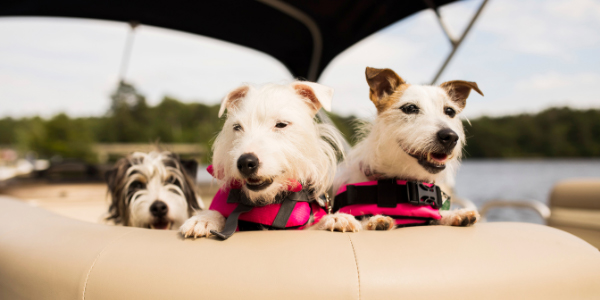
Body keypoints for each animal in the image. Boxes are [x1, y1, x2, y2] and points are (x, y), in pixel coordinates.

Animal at [179, 80, 360, 239]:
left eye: (281, 124)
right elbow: (218, 213)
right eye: (237, 127)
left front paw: (335, 218)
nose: (245, 162)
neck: (267, 202)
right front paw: (203, 219)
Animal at [336, 66, 486, 230]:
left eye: (450, 111)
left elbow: (436, 217)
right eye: (410, 108)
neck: (401, 181)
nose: (450, 137)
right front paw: (373, 220)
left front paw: (454, 214)